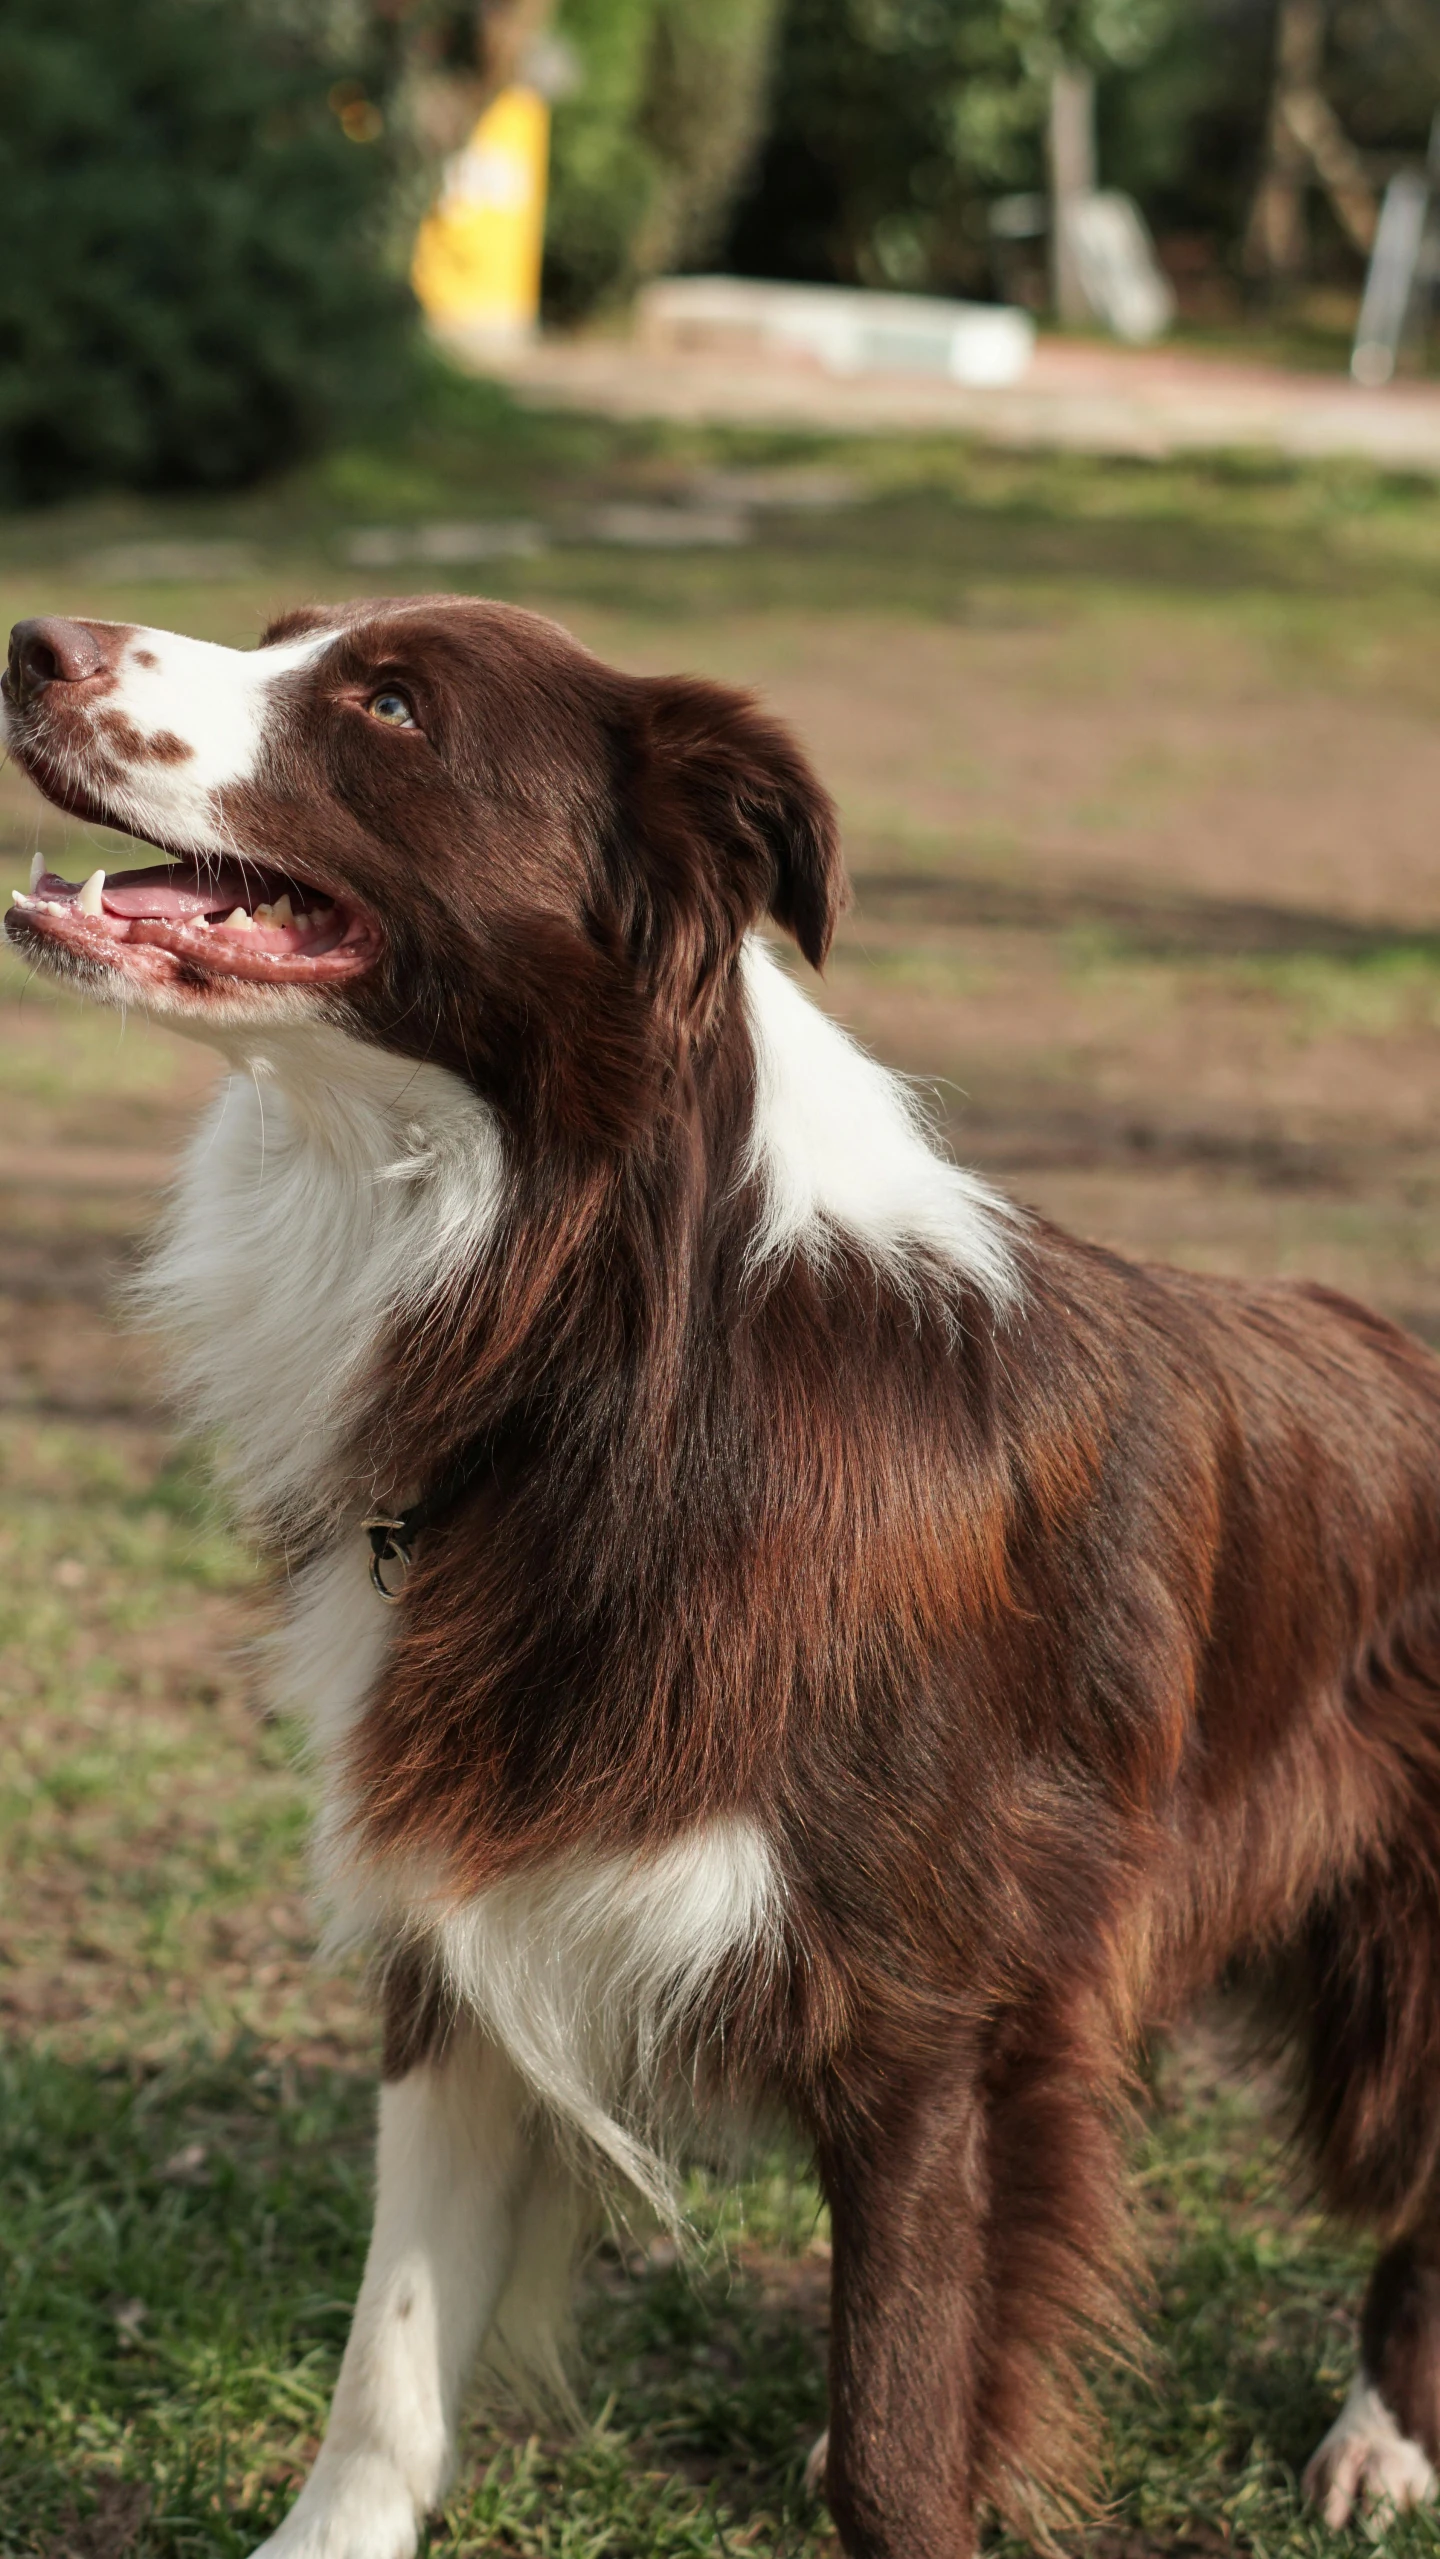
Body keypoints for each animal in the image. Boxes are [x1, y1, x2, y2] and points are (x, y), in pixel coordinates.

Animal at [8, 603, 1440, 2559]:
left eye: (392, 701)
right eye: (291, 633)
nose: (30, 641)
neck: (601, 1333)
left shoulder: (940, 2018)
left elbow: (909, 2430)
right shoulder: (468, 1901)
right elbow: (390, 2356)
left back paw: (1383, 2438)